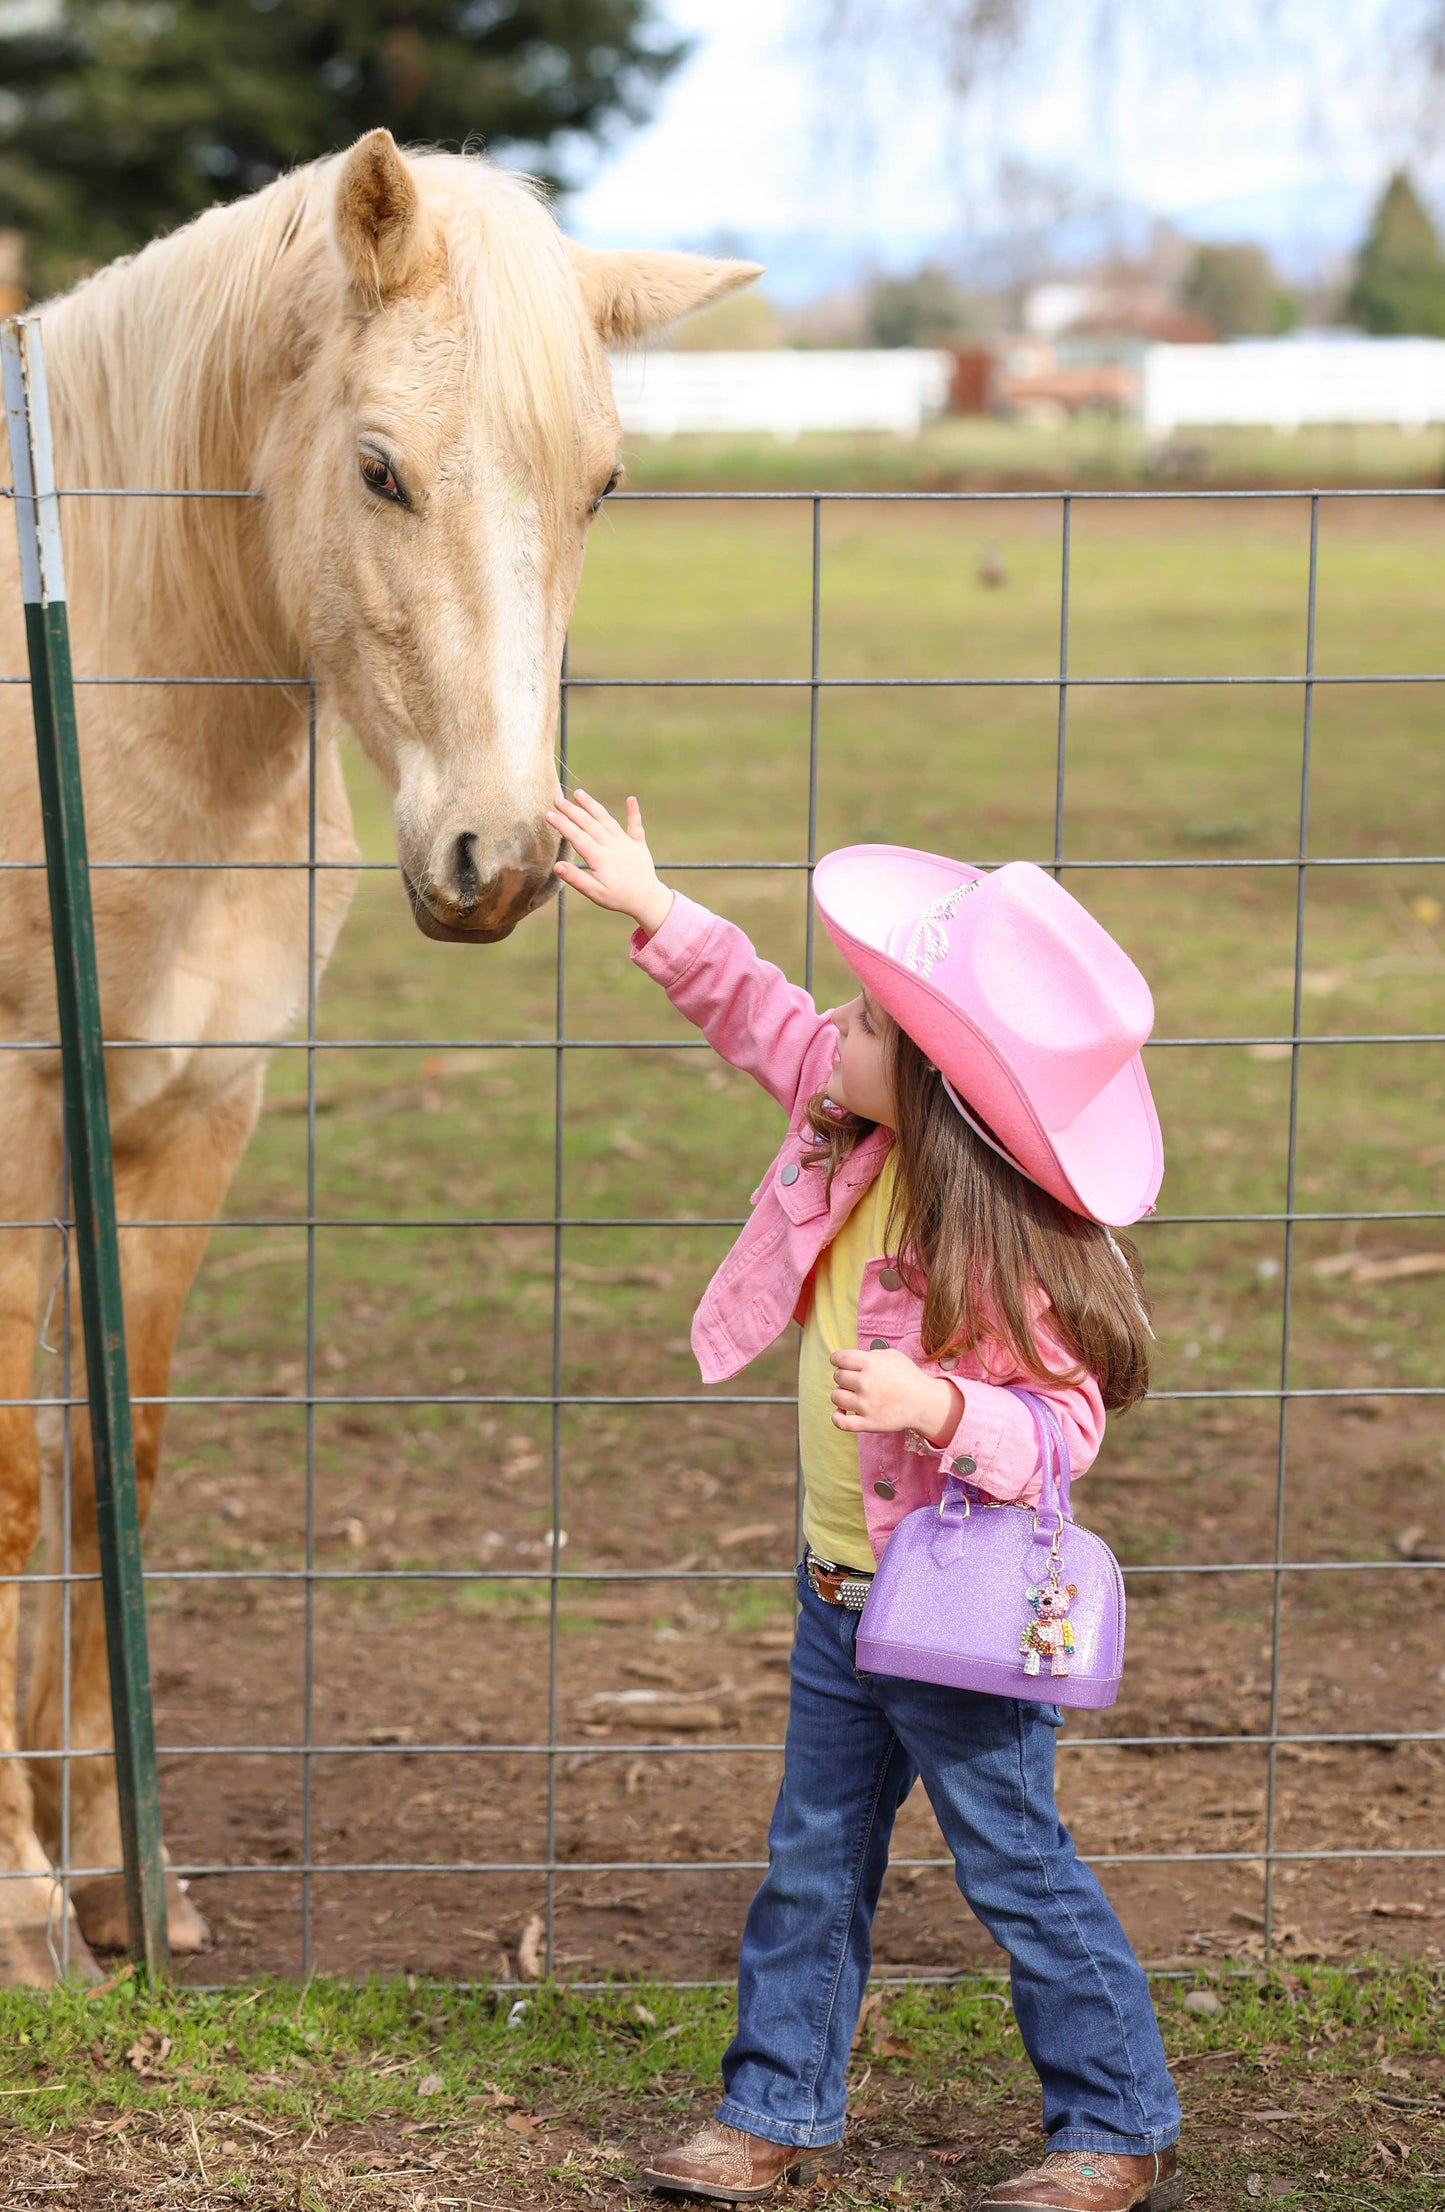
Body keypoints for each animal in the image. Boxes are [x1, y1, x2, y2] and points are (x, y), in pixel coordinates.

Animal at [0, 128, 757, 1984]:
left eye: (603, 485)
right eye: (380, 470)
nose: (500, 855)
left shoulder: (187, 1121)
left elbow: (108, 1461)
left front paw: (123, 1872)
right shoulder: (18, 1113)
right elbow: (16, 1477)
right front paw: (26, 1907)